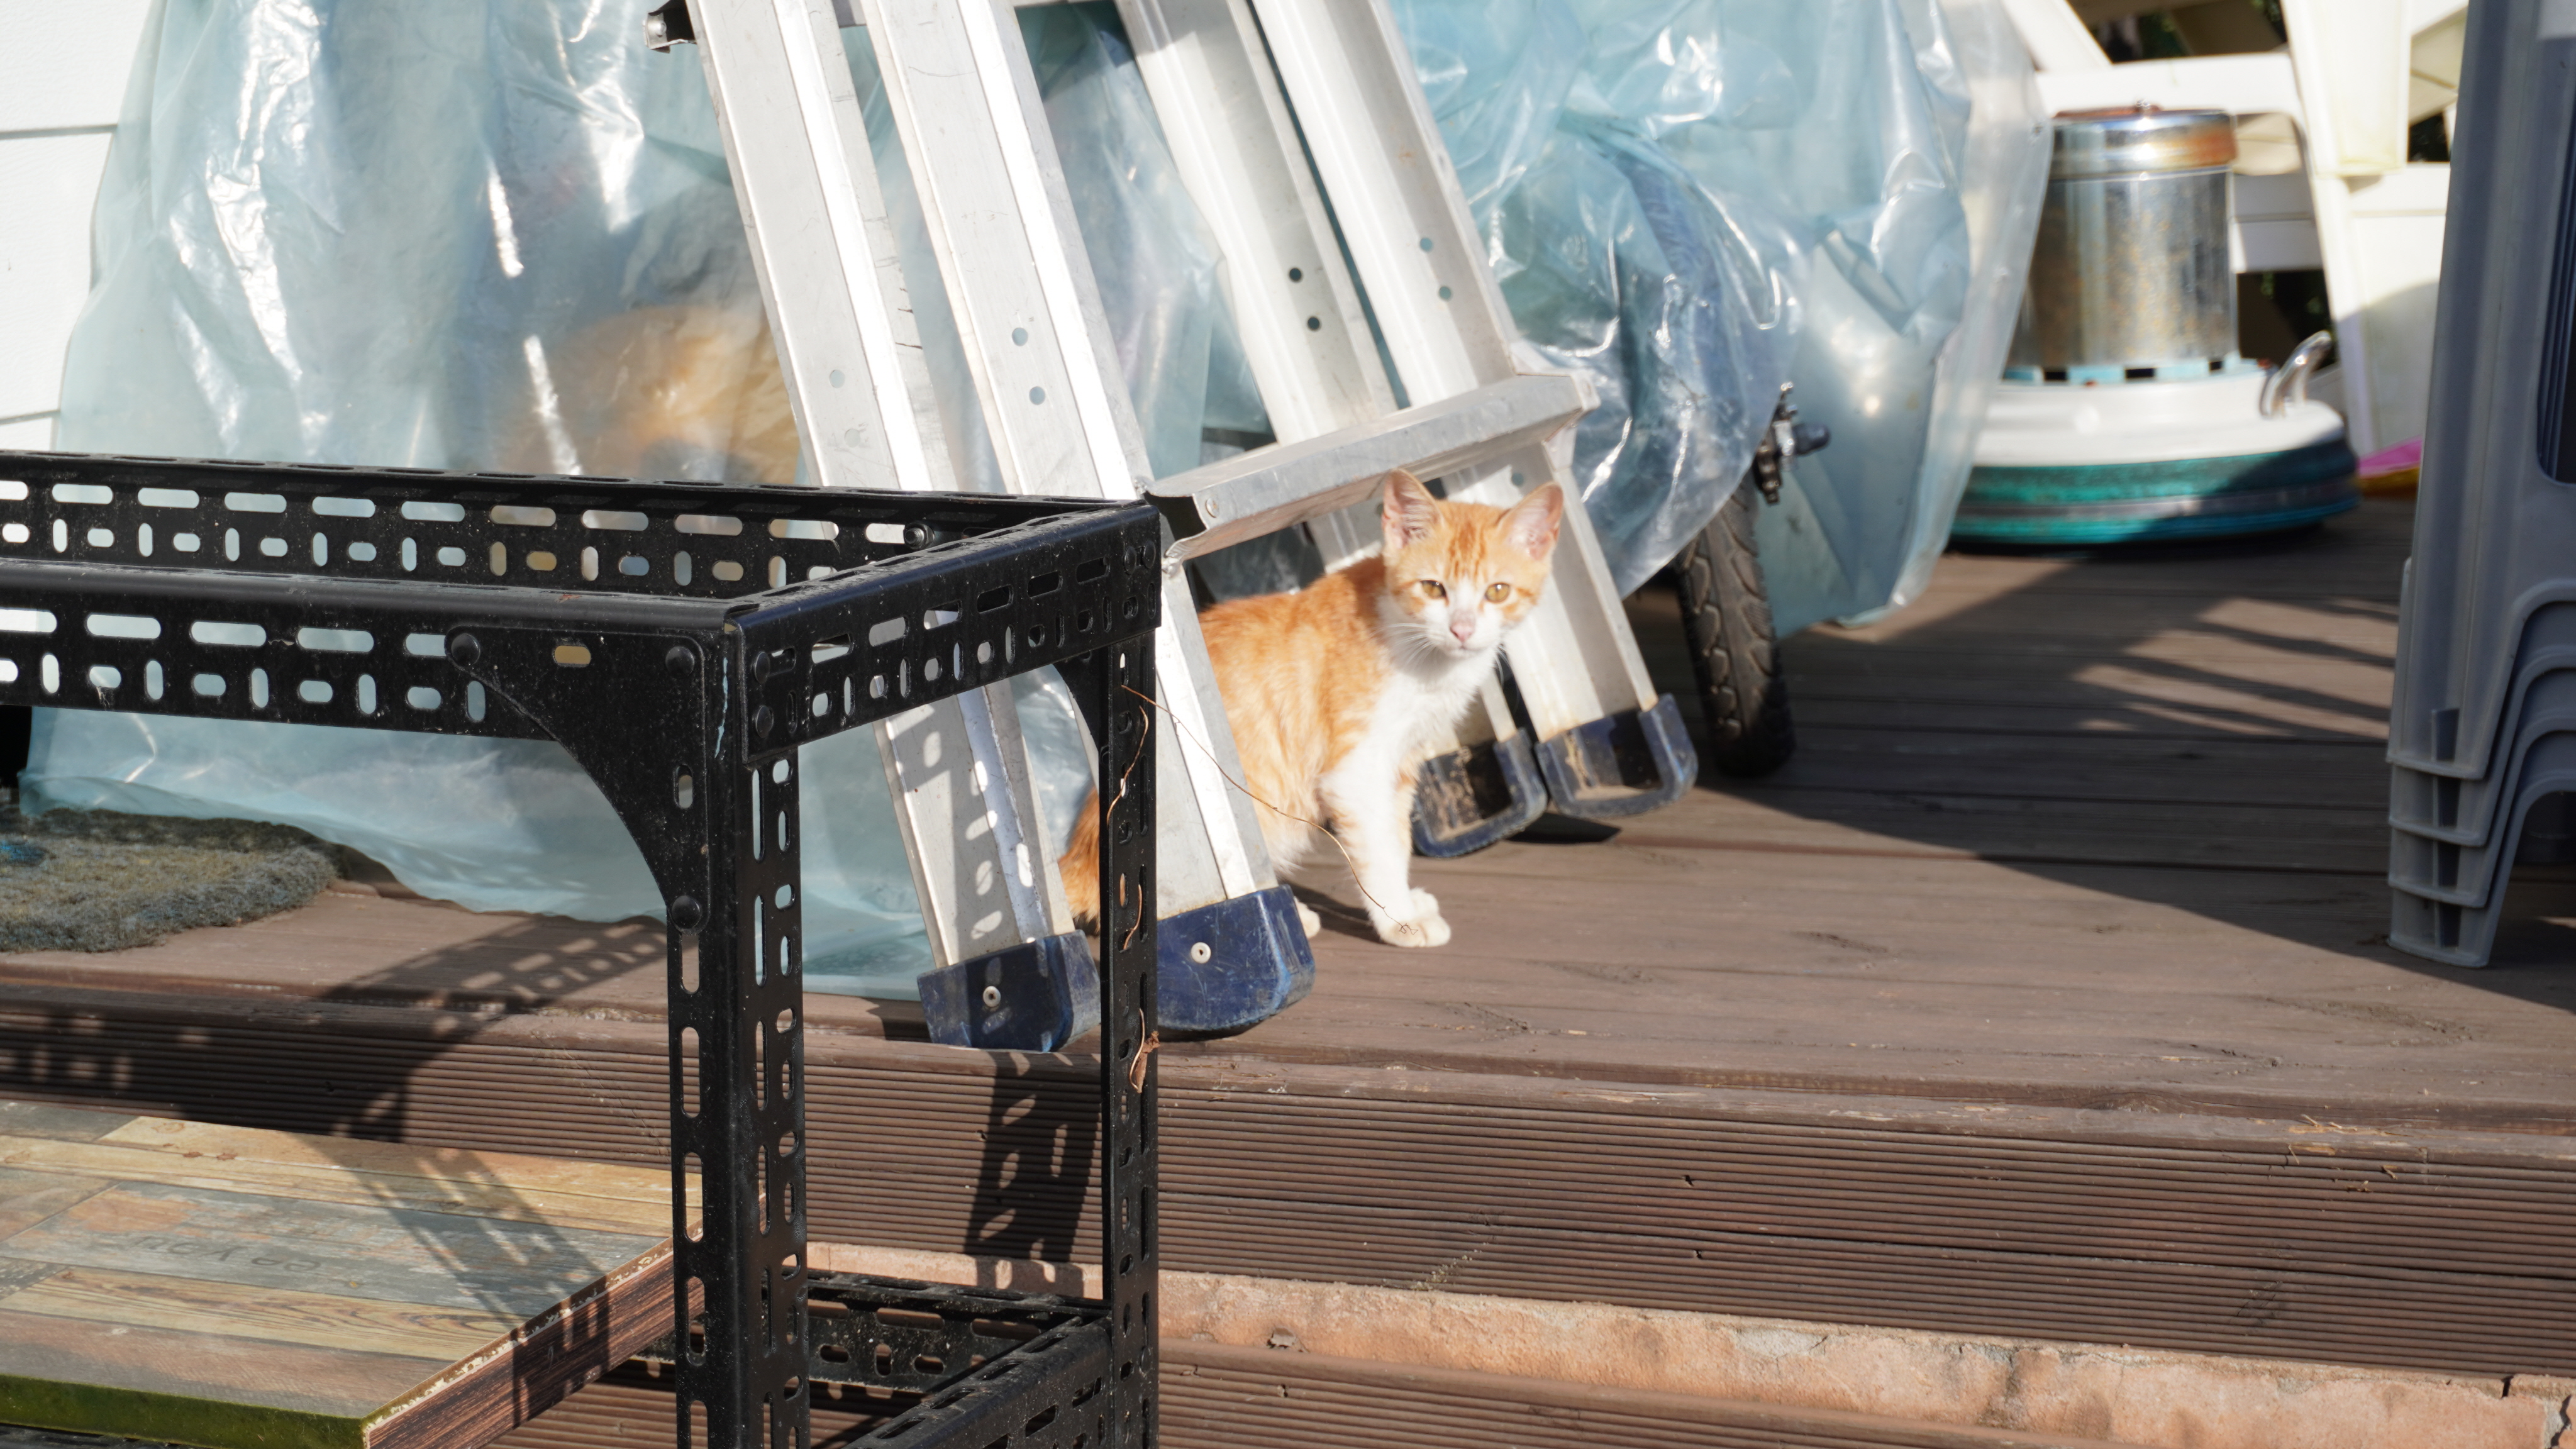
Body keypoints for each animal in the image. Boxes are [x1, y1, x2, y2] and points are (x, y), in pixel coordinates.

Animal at [1060, 469, 1564, 949]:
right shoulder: (1355, 772)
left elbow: (1397, 838)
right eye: (1433, 588)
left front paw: (1406, 902)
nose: (1462, 630)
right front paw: (1397, 921)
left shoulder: (1401, 763)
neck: (1421, 654)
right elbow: (1377, 848)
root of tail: (1077, 857)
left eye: (1497, 591)